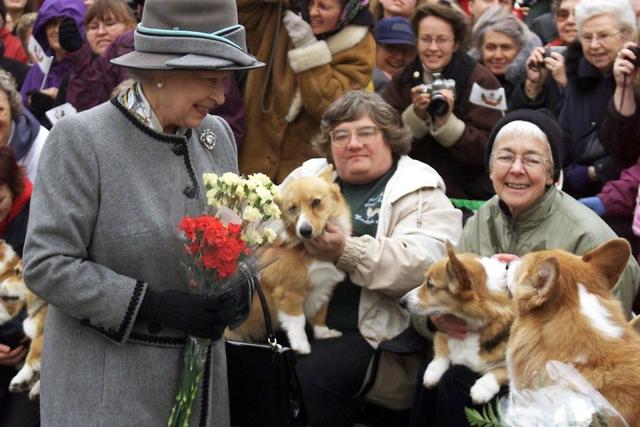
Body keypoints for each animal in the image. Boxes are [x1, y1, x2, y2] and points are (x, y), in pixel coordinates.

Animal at [228, 167, 352, 354]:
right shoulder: (289, 293)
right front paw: (301, 346)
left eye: (316, 202)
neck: (308, 250)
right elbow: (297, 321)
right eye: (293, 208)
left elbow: (320, 315)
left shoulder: (323, 289)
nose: (305, 231)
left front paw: (324, 333)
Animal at [400, 241, 516, 404]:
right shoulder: (443, 329)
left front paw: (482, 389)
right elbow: (441, 352)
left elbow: (500, 372)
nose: (401, 302)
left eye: (430, 285)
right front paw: (432, 373)